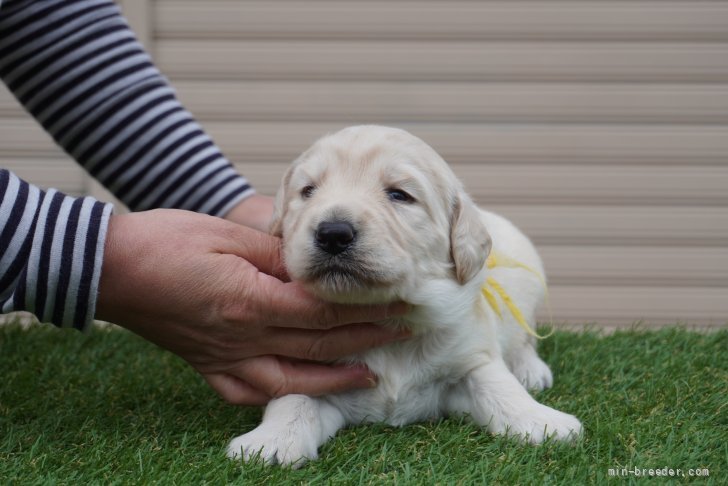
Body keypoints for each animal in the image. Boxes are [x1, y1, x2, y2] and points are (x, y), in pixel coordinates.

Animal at [228, 126, 580, 468]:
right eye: (308, 191)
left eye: (399, 194)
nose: (333, 233)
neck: (390, 321)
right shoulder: (314, 373)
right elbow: (292, 400)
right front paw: (270, 441)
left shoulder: (470, 355)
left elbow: (498, 386)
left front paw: (544, 423)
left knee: (525, 339)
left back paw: (531, 370)